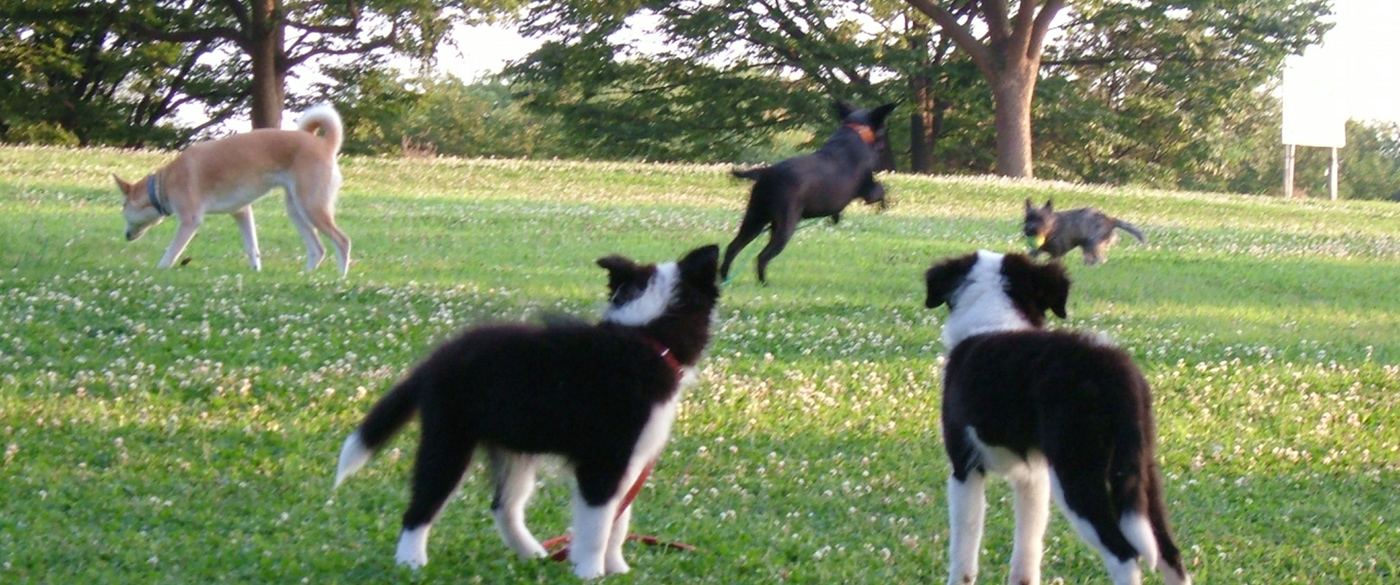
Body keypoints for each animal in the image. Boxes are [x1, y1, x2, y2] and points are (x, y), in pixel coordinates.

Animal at [115, 104, 355, 277]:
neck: (163, 184)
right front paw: (256, 271)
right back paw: (305, 276)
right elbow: (251, 247)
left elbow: (172, 251)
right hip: (296, 209)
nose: (125, 235)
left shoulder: (190, 220)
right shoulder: (241, 211)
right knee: (318, 249)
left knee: (342, 242)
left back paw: (340, 278)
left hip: (311, 206)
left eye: (123, 208)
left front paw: (161, 268)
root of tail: (324, 145)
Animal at [337, 244, 722, 579]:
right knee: (421, 506)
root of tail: (436, 359)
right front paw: (590, 572)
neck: (648, 337)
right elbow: (598, 525)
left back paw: (533, 553)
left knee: (503, 507)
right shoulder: (603, 460)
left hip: (514, 446)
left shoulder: (630, 463)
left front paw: (617, 568)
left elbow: (619, 520)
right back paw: (411, 561)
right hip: (449, 439)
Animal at [722, 101, 896, 284]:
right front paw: (884, 205)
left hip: (755, 218)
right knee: (762, 256)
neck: (857, 132)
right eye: (884, 128)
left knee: (732, 247)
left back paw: (724, 277)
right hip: (784, 224)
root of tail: (767, 173)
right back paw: (764, 283)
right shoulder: (868, 191)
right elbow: (882, 188)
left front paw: (835, 217)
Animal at [924, 250, 1187, 585]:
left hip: (1077, 471)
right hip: (1139, 470)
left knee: (1124, 555)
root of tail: (1112, 369)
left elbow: (964, 546)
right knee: (1170, 553)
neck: (995, 317)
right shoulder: (1033, 476)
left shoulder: (964, 467)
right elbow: (1028, 549)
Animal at [1019, 200, 1148, 265]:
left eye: (1041, 219)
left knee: (1101, 259)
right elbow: (1031, 255)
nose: (1029, 230)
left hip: (1093, 244)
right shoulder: (1038, 250)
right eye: (1027, 219)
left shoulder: (1058, 253)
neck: (1050, 229)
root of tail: (1110, 220)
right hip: (1087, 248)